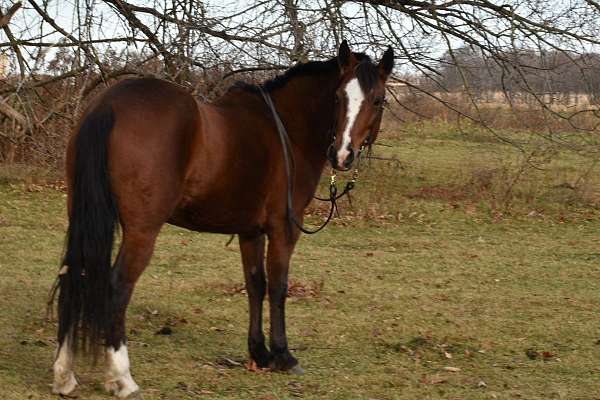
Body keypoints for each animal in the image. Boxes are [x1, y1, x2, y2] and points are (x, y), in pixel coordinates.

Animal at [52, 40, 394, 396]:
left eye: (377, 99)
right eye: (338, 96)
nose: (342, 155)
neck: (285, 129)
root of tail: (108, 105)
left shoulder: (251, 231)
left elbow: (255, 285)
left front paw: (259, 353)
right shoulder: (283, 229)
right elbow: (278, 286)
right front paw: (283, 355)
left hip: (82, 216)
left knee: (72, 275)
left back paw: (64, 375)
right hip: (141, 231)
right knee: (117, 286)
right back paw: (122, 377)